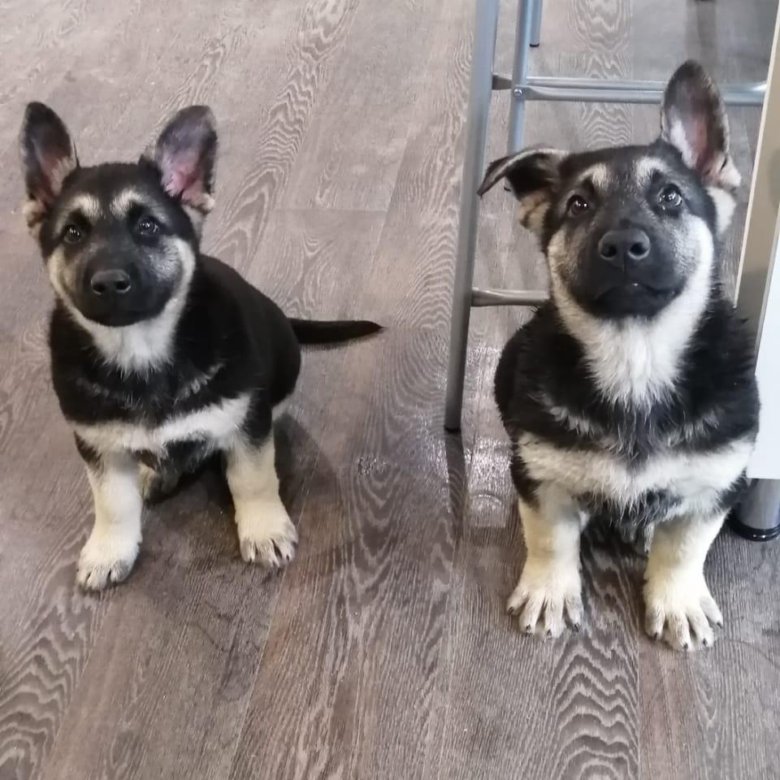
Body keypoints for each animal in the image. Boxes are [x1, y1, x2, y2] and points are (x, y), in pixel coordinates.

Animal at [20, 102, 380, 590]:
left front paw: (263, 528)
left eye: (148, 226)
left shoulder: (244, 423)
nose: (110, 283)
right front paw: (109, 548)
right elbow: (112, 502)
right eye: (73, 233)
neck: (143, 351)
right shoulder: (99, 445)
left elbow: (253, 478)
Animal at [478, 61, 759, 651]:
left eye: (671, 197)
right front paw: (549, 589)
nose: (624, 247)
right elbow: (549, 537)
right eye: (579, 205)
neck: (636, 355)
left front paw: (678, 599)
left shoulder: (716, 484)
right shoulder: (540, 476)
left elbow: (685, 548)